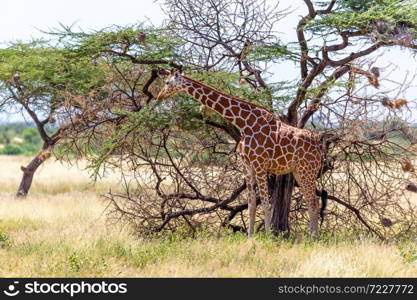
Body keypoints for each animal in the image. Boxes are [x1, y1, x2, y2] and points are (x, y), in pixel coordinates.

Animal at [156, 69, 324, 238]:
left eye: (167, 82)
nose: (159, 96)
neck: (244, 123)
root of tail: (319, 145)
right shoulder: (247, 166)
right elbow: (251, 205)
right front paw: (250, 237)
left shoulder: (260, 165)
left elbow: (266, 205)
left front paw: (267, 237)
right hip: (299, 172)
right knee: (311, 201)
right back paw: (311, 236)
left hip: (308, 171)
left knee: (314, 202)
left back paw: (314, 238)